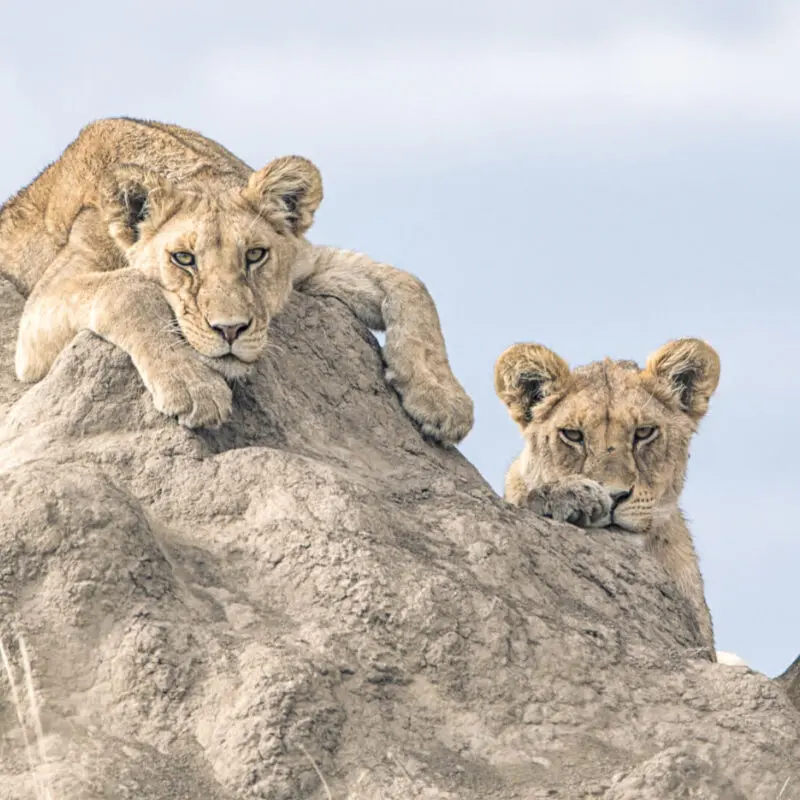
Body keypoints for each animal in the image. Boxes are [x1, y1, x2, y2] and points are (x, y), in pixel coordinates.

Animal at [0, 118, 473, 444]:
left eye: (255, 255)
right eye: (184, 258)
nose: (230, 330)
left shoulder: (304, 263)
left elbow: (409, 283)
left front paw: (442, 399)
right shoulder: (41, 312)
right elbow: (129, 288)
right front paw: (193, 387)